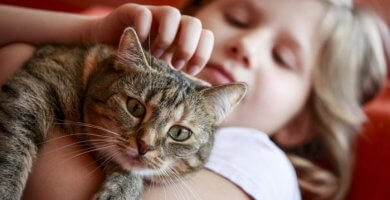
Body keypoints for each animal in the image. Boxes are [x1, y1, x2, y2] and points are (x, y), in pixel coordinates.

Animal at [0, 27, 247, 200]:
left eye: (179, 133)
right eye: (135, 107)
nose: (144, 146)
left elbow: (132, 176)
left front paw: (120, 191)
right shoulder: (31, 88)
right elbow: (12, 154)